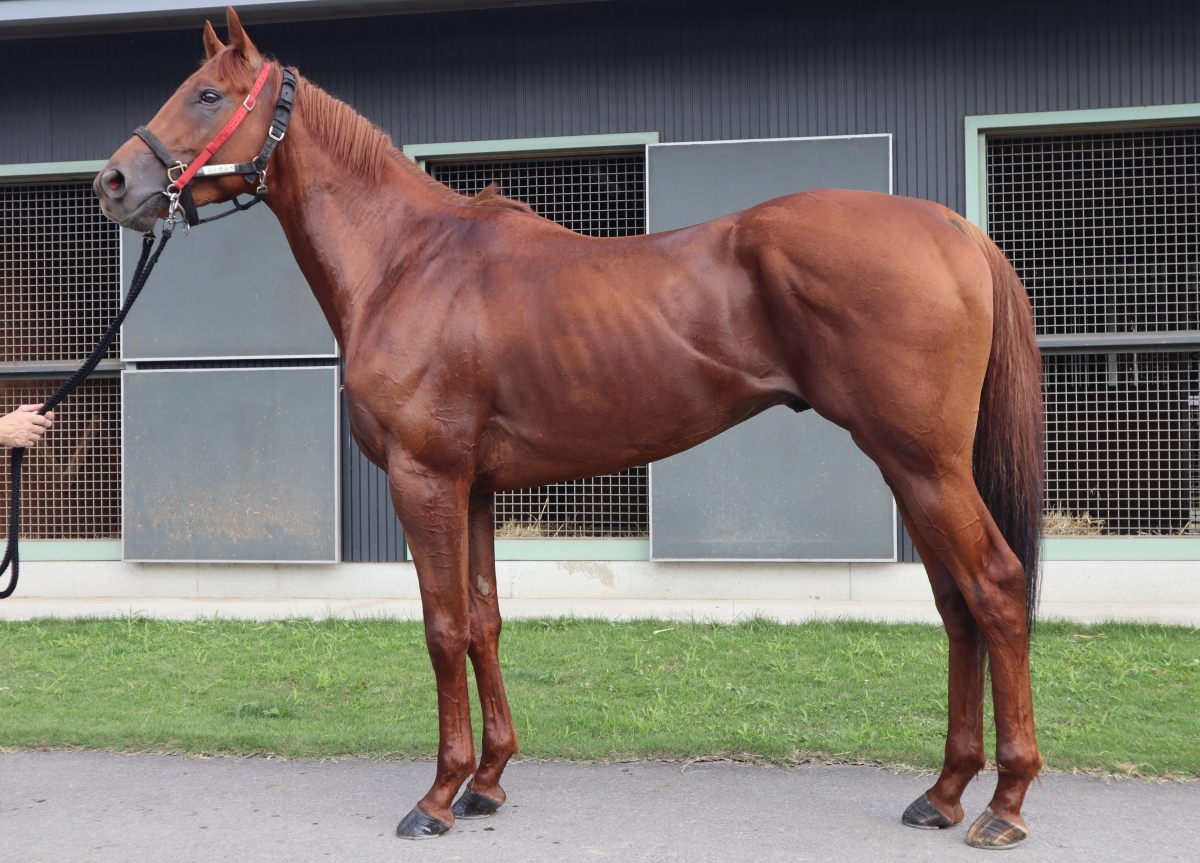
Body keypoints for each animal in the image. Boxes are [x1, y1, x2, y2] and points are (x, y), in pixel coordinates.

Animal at [94, 6, 1044, 849]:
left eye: (208, 94)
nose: (114, 184)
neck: (407, 260)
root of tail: (954, 229)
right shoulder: (474, 488)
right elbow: (483, 620)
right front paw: (487, 781)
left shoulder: (425, 479)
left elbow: (442, 627)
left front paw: (436, 796)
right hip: (911, 467)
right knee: (957, 605)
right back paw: (944, 792)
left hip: (923, 463)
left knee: (996, 588)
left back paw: (1005, 802)